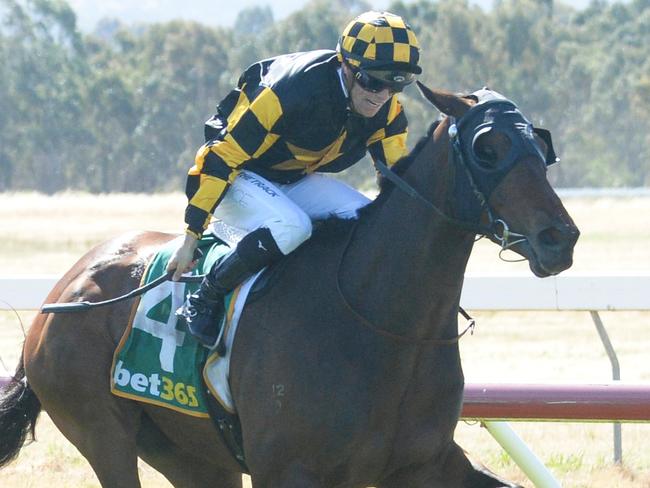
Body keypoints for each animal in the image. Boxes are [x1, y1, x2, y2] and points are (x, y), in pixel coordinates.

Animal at [0, 86, 576, 486]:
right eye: (487, 147)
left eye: (539, 144)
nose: (560, 238)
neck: (381, 323)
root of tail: (61, 293)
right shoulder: (289, 469)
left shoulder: (427, 463)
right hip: (103, 433)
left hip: (191, 455)